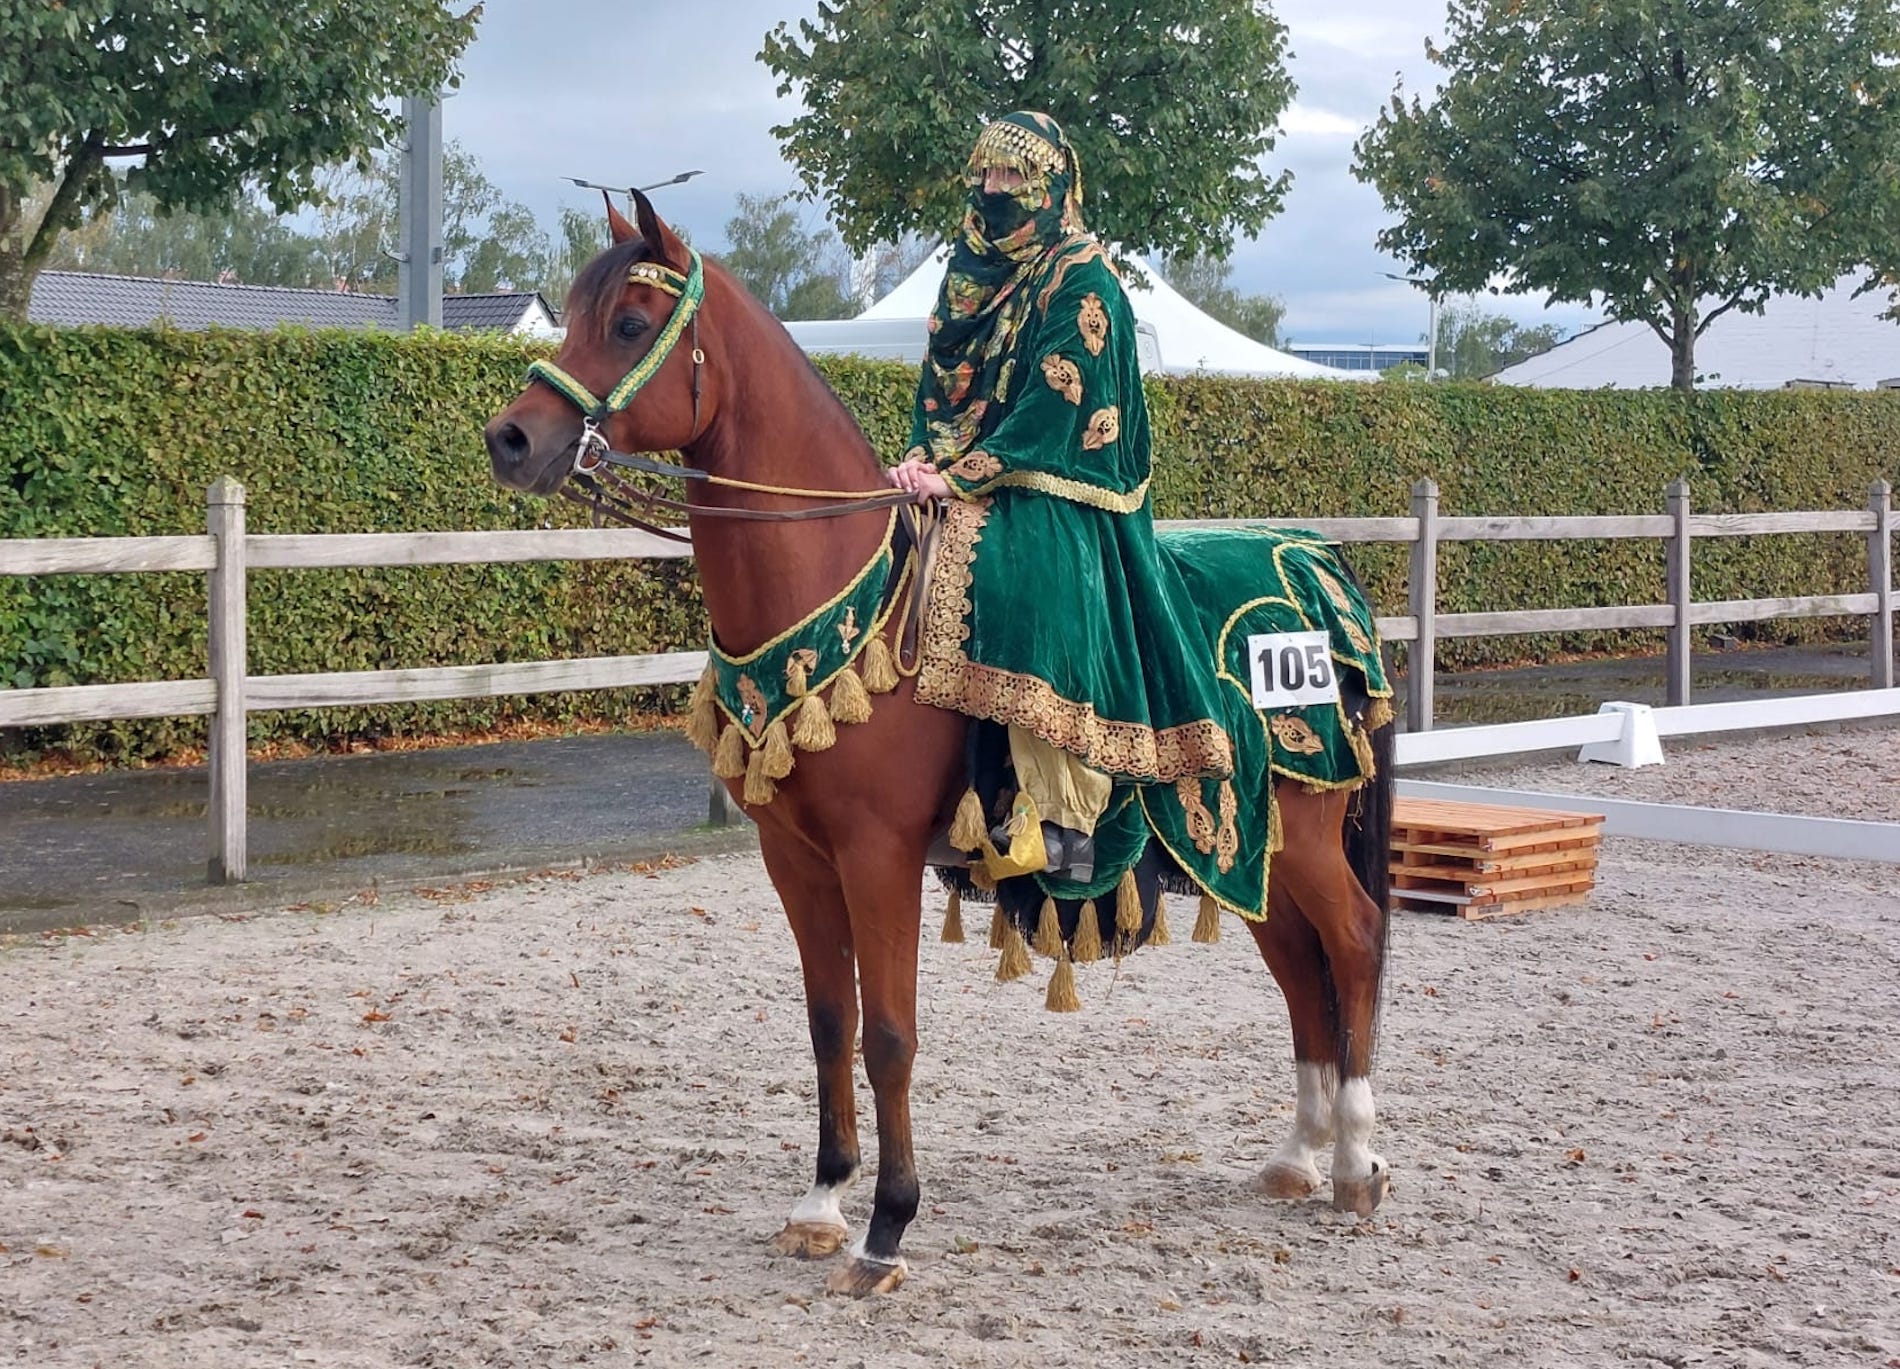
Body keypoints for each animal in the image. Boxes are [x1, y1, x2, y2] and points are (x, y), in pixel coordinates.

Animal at [478, 189, 1398, 1291]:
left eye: (625, 323)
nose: (511, 438)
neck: (843, 591)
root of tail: (1318, 566)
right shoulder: (797, 859)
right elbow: (828, 1022)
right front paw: (822, 1200)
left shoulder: (877, 857)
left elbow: (888, 1035)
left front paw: (887, 1227)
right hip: (1249, 846)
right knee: (1302, 967)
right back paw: (1300, 1153)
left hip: (1300, 834)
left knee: (1353, 943)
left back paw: (1354, 1158)